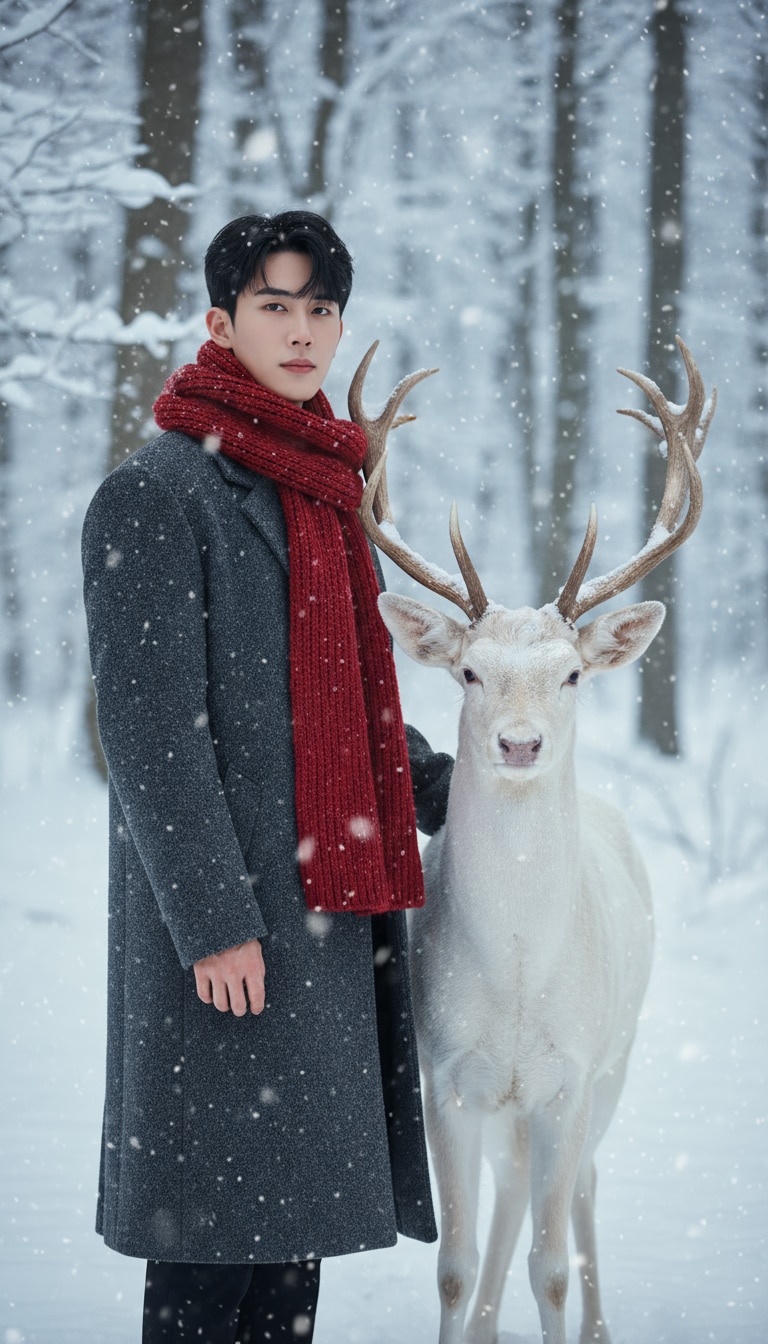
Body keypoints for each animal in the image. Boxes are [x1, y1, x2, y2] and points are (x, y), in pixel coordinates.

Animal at [348, 338, 716, 1344]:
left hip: (617, 1061)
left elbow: (550, 1267)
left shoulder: (570, 1076)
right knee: (512, 1197)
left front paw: (563, 1316)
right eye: (470, 672)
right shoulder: (446, 1074)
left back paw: (595, 1325)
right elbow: (451, 1262)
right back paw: (486, 1323)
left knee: (579, 1185)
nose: (519, 744)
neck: (515, 974)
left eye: (574, 675)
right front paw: (463, 1314)